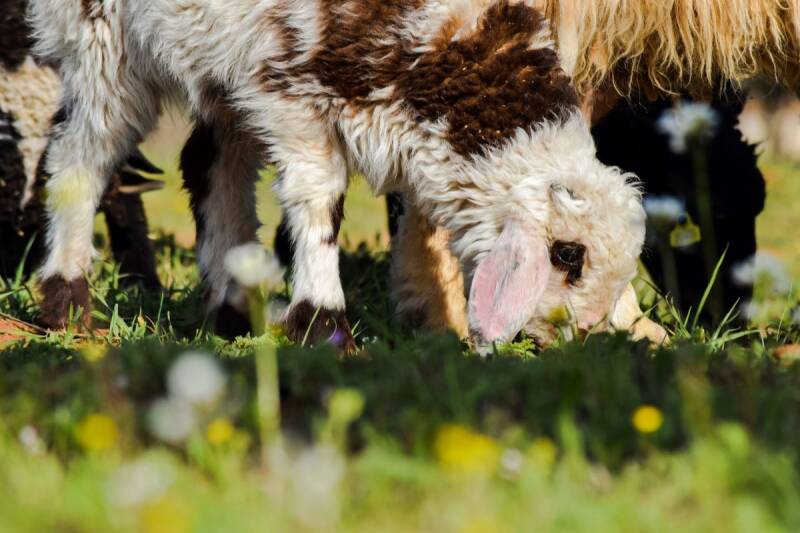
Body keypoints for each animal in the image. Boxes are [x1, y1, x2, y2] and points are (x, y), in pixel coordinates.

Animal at [29, 0, 647, 349]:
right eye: (568, 254)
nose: (582, 336)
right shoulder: (291, 94)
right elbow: (319, 202)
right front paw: (321, 322)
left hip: (221, 69)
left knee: (213, 166)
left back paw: (234, 309)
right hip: (102, 42)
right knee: (78, 160)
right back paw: (67, 302)